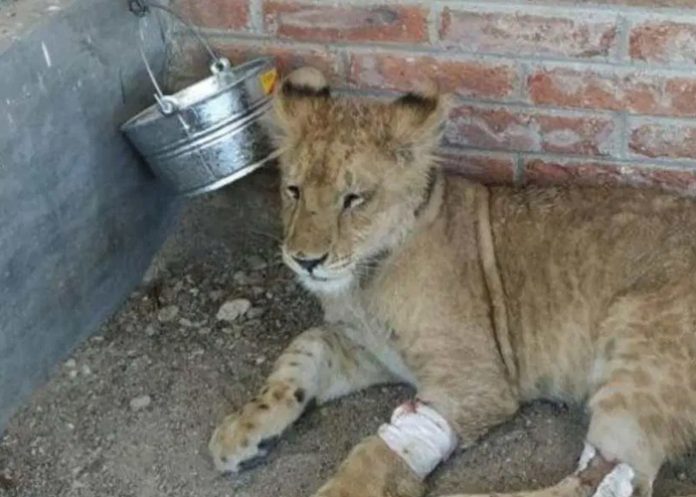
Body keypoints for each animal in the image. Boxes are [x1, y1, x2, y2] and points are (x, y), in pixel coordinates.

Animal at [208, 67, 696, 497]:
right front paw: (240, 431)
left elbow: (379, 450)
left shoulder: (476, 381)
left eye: (353, 199)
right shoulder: (372, 351)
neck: (364, 282)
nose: (305, 261)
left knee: (608, 479)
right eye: (294, 191)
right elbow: (302, 352)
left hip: (638, 354)